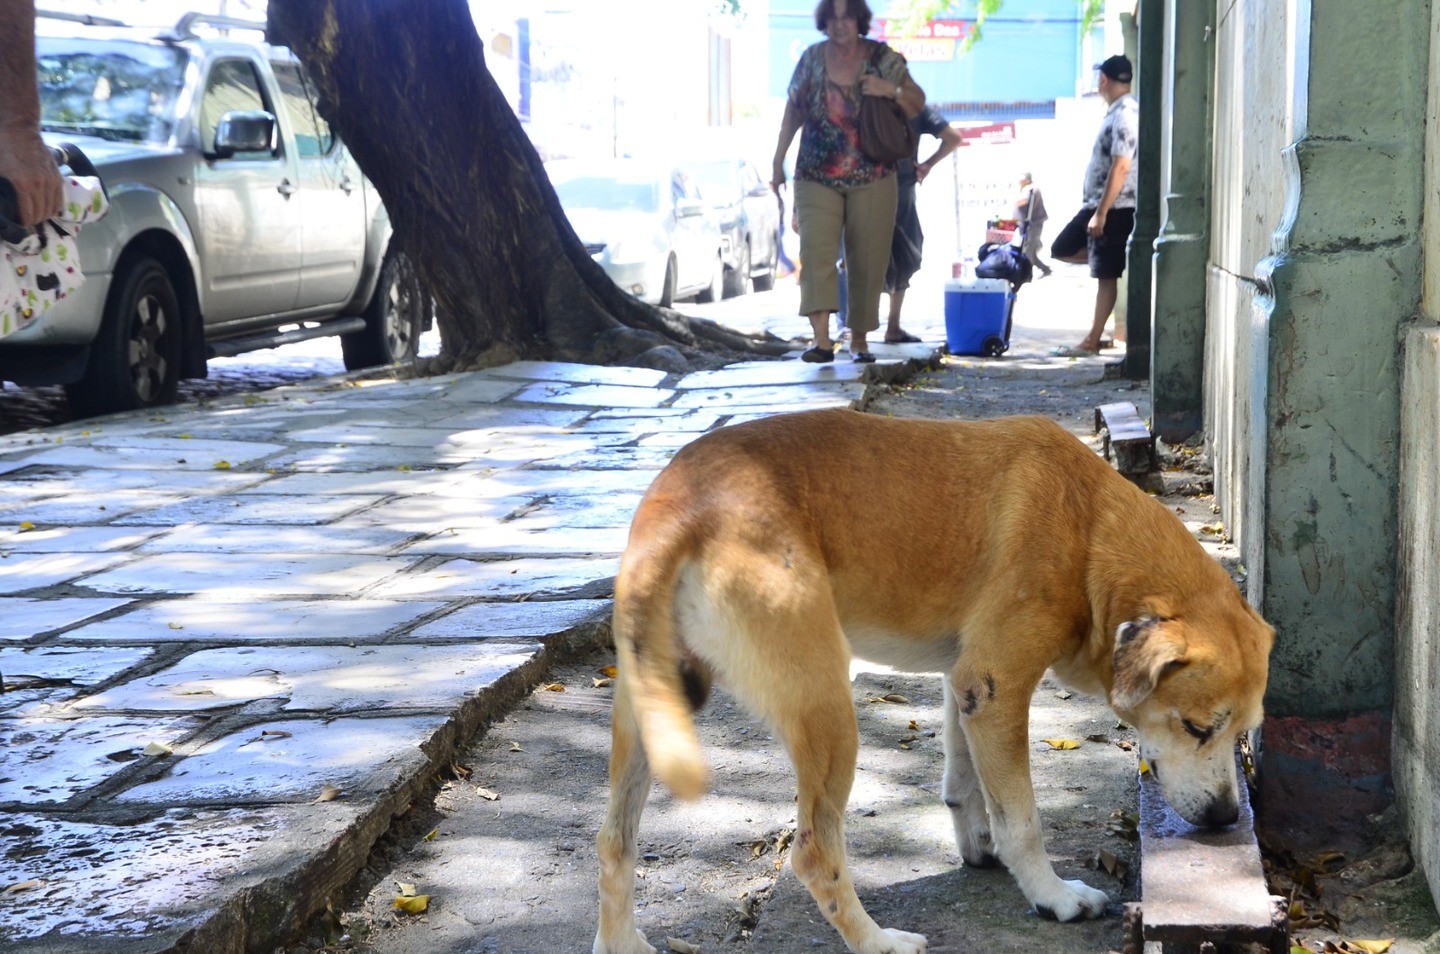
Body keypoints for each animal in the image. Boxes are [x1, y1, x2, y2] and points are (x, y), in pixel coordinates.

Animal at [590, 412, 1278, 954]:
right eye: (1197, 727)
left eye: (1245, 734)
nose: (1226, 817)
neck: (1089, 531)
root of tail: (679, 506)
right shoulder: (999, 686)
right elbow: (1022, 819)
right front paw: (1051, 896)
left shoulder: (967, 688)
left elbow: (965, 785)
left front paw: (979, 847)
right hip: (828, 711)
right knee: (814, 852)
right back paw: (878, 943)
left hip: (648, 716)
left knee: (614, 844)